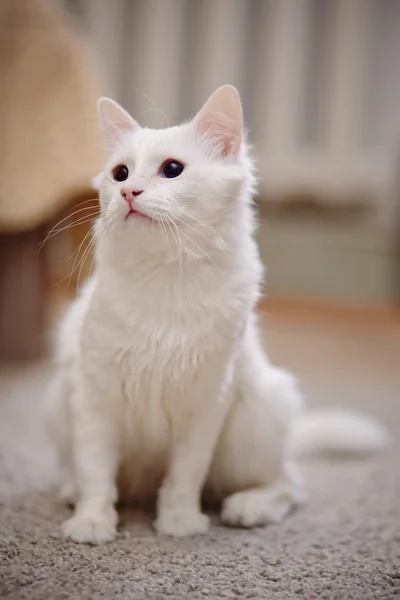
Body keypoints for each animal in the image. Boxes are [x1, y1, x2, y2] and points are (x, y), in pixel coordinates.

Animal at [45, 85, 390, 544]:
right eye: (120, 173)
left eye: (172, 169)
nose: (128, 192)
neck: (167, 280)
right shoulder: (94, 392)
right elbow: (97, 471)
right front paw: (91, 523)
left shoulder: (207, 397)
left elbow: (184, 476)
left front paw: (179, 523)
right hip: (60, 404)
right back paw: (72, 492)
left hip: (252, 424)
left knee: (289, 485)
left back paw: (248, 508)